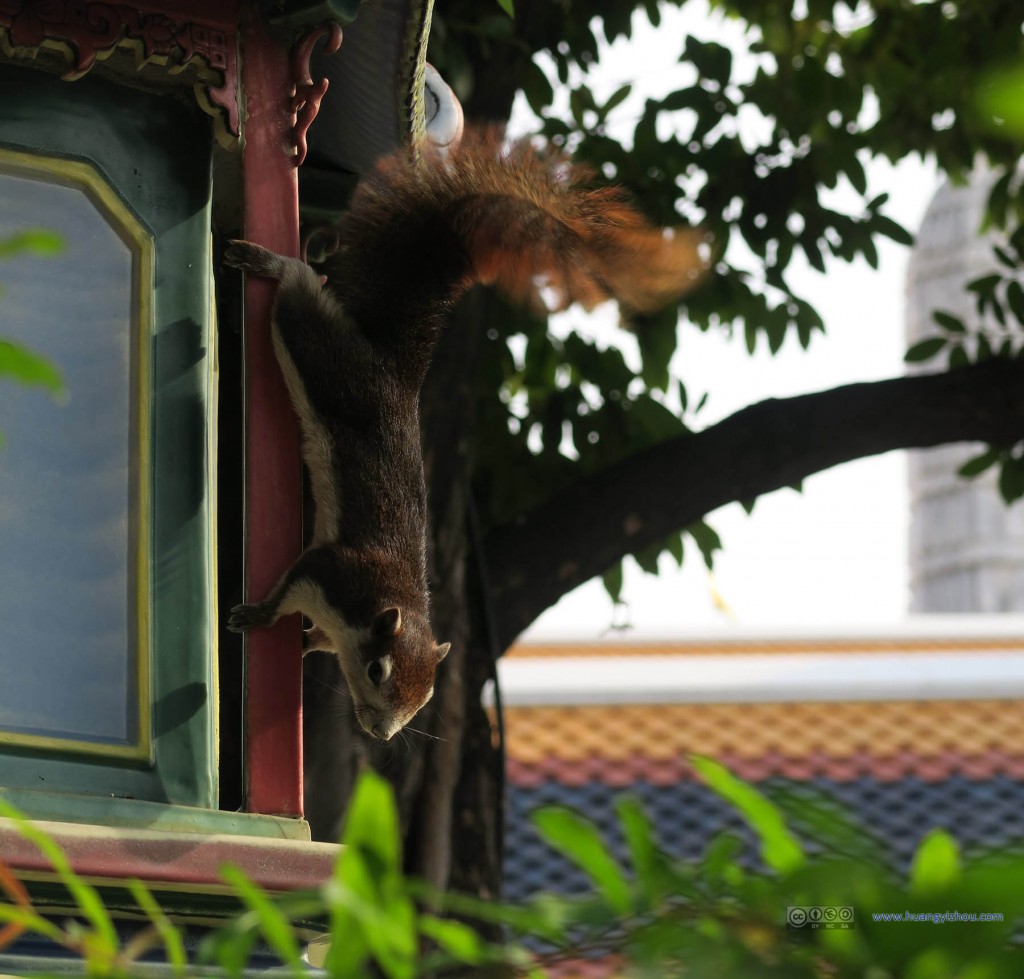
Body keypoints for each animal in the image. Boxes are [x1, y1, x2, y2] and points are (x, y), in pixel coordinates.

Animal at [224, 130, 704, 741]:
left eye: (425, 698)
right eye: (378, 671)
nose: (381, 734)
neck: (388, 604)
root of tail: (395, 373)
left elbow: (317, 637)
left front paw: (305, 645)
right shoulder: (332, 572)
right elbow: (288, 590)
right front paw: (256, 615)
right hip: (324, 357)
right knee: (300, 293)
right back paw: (270, 260)